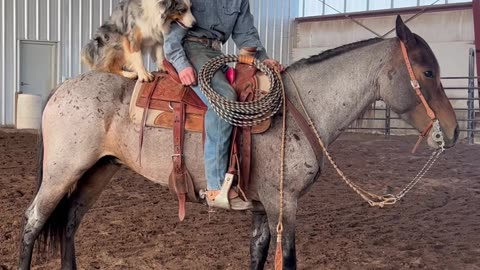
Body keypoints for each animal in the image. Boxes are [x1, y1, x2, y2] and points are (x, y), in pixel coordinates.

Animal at [19, 16, 458, 270]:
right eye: (428, 71)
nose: (452, 132)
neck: (302, 109)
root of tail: (62, 88)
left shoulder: (263, 208)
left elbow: (257, 256)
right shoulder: (285, 205)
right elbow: (287, 260)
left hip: (98, 170)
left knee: (70, 224)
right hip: (61, 173)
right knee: (33, 223)